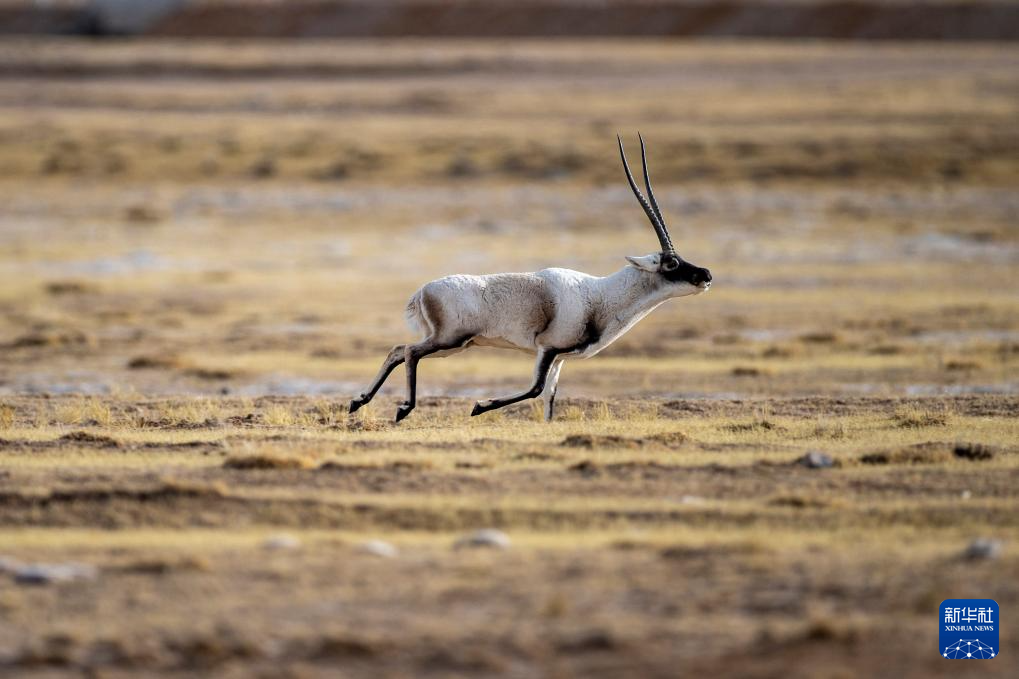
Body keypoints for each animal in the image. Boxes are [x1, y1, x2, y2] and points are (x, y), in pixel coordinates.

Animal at [349, 134, 712, 423]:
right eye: (671, 263)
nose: (706, 275)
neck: (600, 294)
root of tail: (422, 291)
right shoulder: (547, 348)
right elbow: (536, 389)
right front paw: (479, 406)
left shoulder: (560, 357)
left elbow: (550, 395)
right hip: (450, 340)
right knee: (410, 352)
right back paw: (402, 409)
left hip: (450, 345)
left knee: (398, 350)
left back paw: (358, 402)